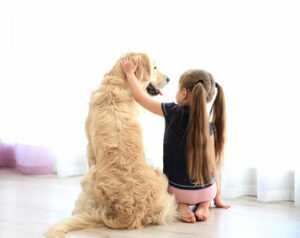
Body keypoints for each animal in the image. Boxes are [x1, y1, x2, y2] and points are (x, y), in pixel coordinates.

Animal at [44, 52, 178, 238]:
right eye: (155, 67)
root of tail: (131, 212)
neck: (119, 83)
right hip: (162, 183)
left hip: (88, 179)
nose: (169, 79)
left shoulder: (89, 148)